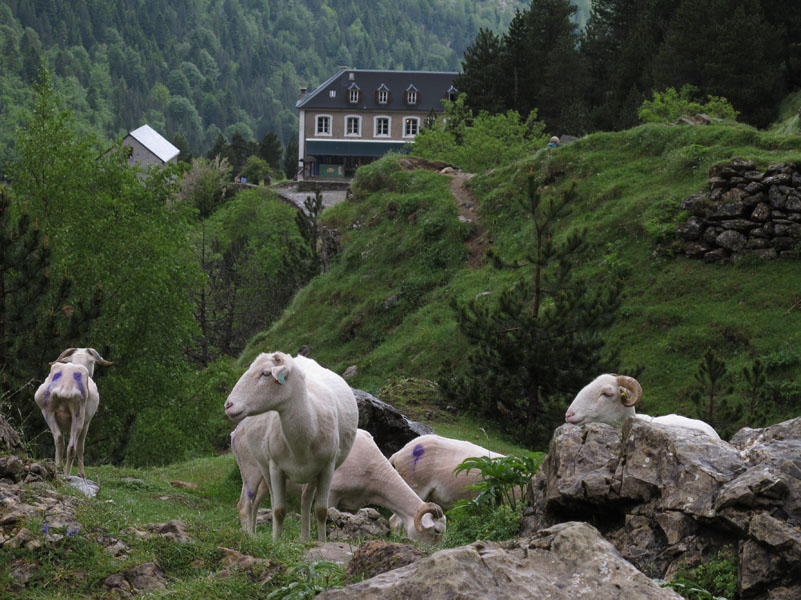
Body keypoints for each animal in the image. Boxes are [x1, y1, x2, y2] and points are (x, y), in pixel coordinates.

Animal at [33, 348, 113, 477]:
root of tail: (65, 386)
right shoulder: (87, 423)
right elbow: (81, 446)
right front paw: (81, 474)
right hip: (78, 414)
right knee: (72, 446)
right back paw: (67, 475)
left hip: (47, 411)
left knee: (58, 438)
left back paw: (59, 469)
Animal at [223, 352, 359, 541]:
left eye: (266, 373)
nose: (228, 405)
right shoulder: (276, 467)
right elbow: (279, 510)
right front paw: (276, 542)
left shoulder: (328, 467)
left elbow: (321, 510)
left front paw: (322, 542)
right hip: (256, 466)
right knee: (249, 504)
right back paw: (253, 536)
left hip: (310, 473)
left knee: (304, 500)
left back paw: (304, 538)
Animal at [231, 423, 446, 543]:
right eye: (436, 531)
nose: (429, 554)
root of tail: (236, 431)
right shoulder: (332, 493)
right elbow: (325, 515)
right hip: (251, 470)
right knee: (243, 504)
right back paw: (249, 536)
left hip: (266, 480)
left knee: (255, 505)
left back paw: (254, 535)